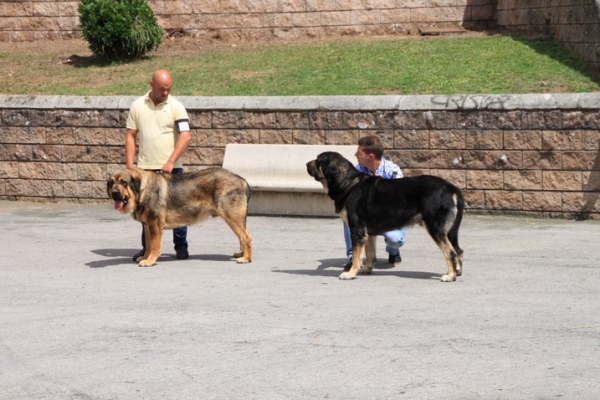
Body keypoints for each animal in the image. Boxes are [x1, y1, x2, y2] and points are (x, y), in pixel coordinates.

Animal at [106, 167, 252, 268]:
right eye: (112, 183)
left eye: (124, 182)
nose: (114, 193)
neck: (142, 190)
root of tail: (242, 180)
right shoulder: (147, 225)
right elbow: (148, 244)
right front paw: (145, 257)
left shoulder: (154, 224)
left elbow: (154, 245)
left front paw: (150, 261)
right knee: (242, 237)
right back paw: (242, 254)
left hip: (232, 217)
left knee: (246, 237)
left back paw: (246, 258)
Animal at [308, 152, 466, 282]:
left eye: (317, 160)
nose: (306, 164)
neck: (348, 183)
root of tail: (451, 188)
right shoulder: (367, 233)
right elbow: (370, 253)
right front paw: (366, 270)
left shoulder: (357, 230)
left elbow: (356, 257)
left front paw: (351, 274)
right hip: (450, 231)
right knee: (458, 251)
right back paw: (457, 272)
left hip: (435, 227)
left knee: (451, 252)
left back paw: (450, 276)